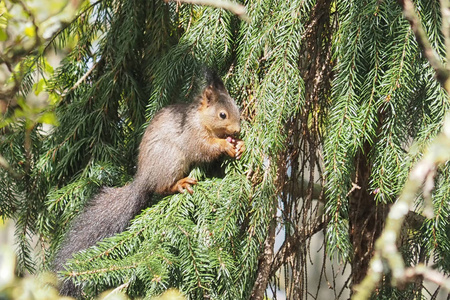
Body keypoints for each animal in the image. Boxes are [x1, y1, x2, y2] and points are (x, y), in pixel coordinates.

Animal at [53, 71, 246, 298]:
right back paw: (180, 184)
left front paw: (239, 144)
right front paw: (226, 145)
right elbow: (205, 148)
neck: (200, 118)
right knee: (162, 188)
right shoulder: (193, 135)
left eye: (237, 109)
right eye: (222, 115)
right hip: (171, 160)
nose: (237, 130)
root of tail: (144, 178)